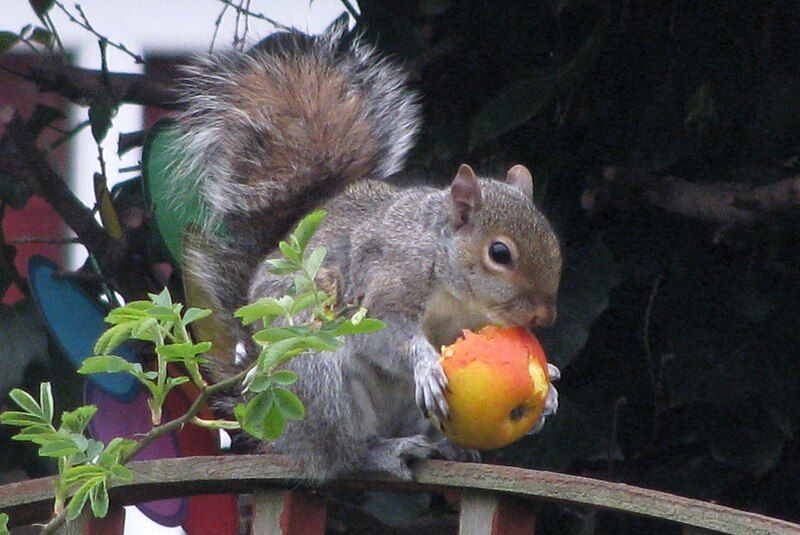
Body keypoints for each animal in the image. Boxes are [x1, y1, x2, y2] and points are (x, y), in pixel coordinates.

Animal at [175, 28, 564, 482]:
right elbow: (385, 335)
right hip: (316, 375)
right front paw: (425, 364)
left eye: (553, 240)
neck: (451, 284)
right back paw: (382, 451)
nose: (545, 317)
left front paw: (549, 387)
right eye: (499, 253)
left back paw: (445, 445)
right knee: (341, 453)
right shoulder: (389, 278)